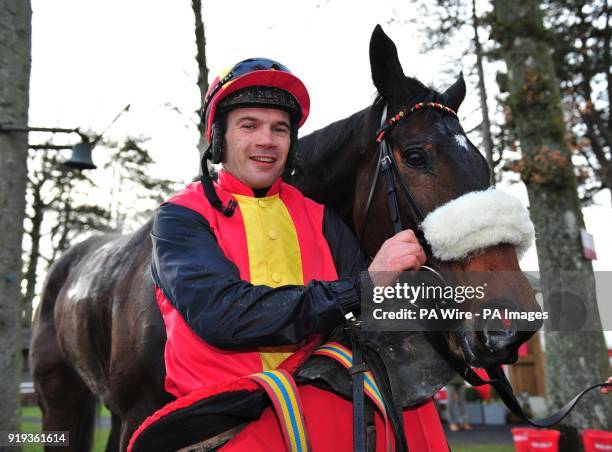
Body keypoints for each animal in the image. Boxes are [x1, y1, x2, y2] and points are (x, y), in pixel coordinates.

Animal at [29, 25, 540, 452]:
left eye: (484, 164)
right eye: (416, 155)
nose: (513, 322)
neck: (254, 197)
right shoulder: (144, 418)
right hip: (60, 400)